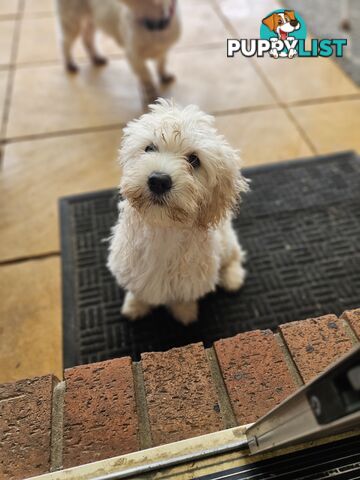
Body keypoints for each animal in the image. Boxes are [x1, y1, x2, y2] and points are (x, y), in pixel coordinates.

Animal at [107, 99, 250, 324]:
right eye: (149, 148)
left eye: (194, 160)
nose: (158, 181)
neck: (164, 229)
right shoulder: (130, 266)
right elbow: (138, 290)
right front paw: (134, 306)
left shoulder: (192, 278)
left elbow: (184, 296)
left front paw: (185, 313)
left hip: (226, 242)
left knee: (234, 254)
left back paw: (233, 278)